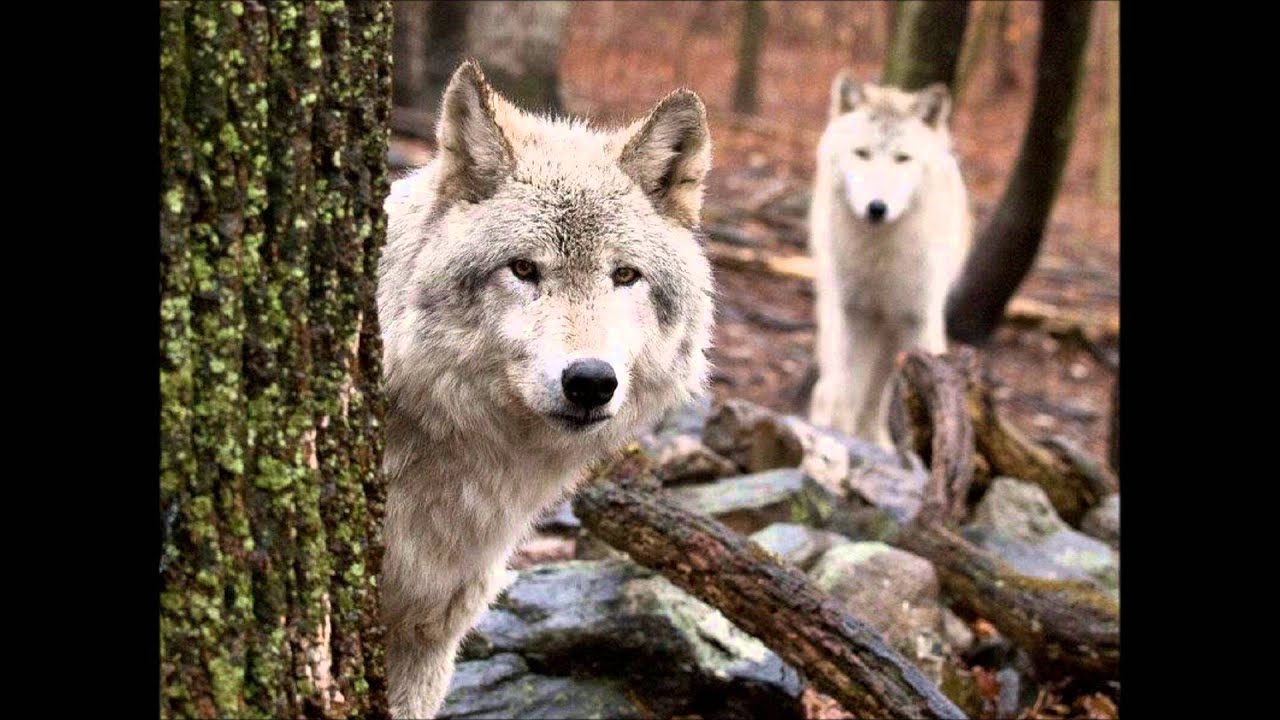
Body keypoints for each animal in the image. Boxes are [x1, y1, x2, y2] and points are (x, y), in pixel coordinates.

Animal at [807, 72, 972, 447]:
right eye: (862, 154)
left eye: (902, 158)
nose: (877, 207)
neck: (881, 257)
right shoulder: (856, 315)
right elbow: (847, 393)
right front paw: (840, 437)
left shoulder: (917, 320)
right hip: (837, 313)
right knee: (828, 385)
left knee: (876, 393)